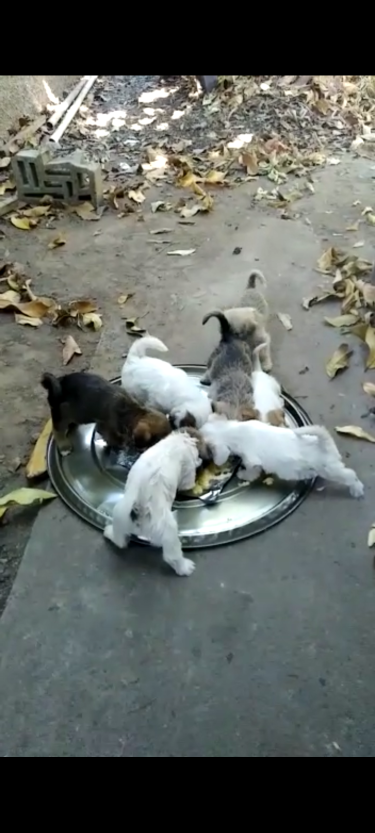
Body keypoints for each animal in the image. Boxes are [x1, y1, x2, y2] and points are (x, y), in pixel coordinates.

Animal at [40, 370, 172, 456]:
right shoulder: (106, 427)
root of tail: (59, 382)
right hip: (60, 413)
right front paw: (121, 443)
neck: (133, 412)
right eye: (156, 443)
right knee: (58, 430)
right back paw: (64, 446)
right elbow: (112, 437)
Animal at [103, 432, 203, 576]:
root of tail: (140, 508)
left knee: (120, 541)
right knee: (172, 557)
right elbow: (188, 482)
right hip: (168, 532)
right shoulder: (188, 471)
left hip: (119, 516)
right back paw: (185, 567)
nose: (201, 460)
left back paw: (109, 532)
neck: (175, 442)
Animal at [201, 414, 366, 494]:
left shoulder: (252, 462)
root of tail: (324, 444)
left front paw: (243, 475)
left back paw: (357, 489)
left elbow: (251, 471)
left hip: (331, 470)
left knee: (350, 475)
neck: (232, 431)